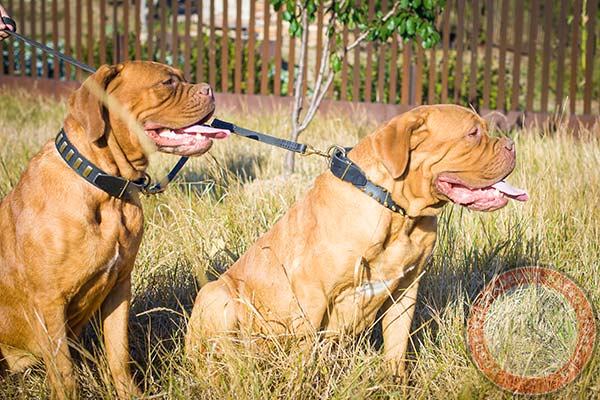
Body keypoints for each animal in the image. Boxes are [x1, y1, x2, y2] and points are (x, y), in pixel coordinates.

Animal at [0, 61, 227, 398]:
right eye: (168, 82)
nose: (210, 90)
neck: (105, 189)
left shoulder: (119, 286)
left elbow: (119, 355)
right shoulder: (49, 304)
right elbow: (64, 373)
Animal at [185, 104, 528, 374]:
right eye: (473, 134)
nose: (512, 144)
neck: (396, 212)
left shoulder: (405, 291)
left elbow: (397, 347)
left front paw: (395, 383)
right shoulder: (311, 294)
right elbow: (306, 351)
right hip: (217, 294)